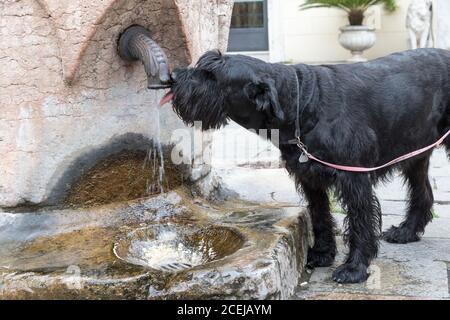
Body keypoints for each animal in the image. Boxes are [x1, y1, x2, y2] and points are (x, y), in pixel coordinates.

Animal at [162, 48, 450, 284]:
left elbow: (360, 222)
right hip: (415, 152)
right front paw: (322, 254)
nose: (172, 76)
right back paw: (407, 231)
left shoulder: (354, 179)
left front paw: (354, 268)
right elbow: (320, 215)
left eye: (212, 75)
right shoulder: (310, 178)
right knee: (423, 193)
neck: (305, 105)